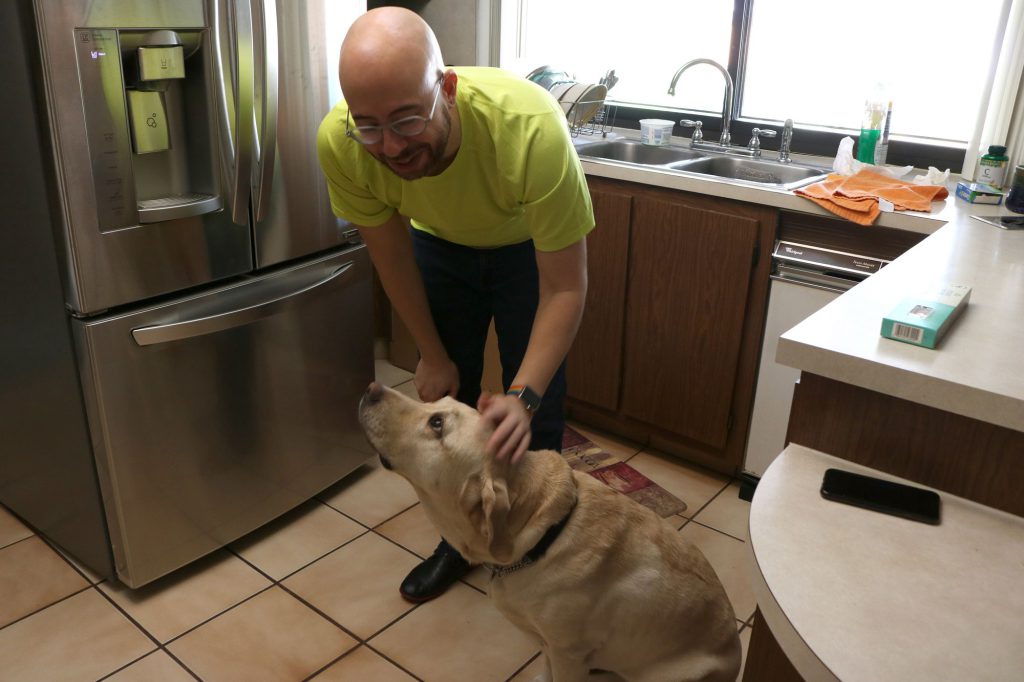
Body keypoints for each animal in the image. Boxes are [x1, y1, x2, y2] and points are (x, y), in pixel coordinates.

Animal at [356, 382, 741, 679]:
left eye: (436, 423)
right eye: (438, 402)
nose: (371, 387)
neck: (541, 538)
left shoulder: (567, 651)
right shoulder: (548, 645)